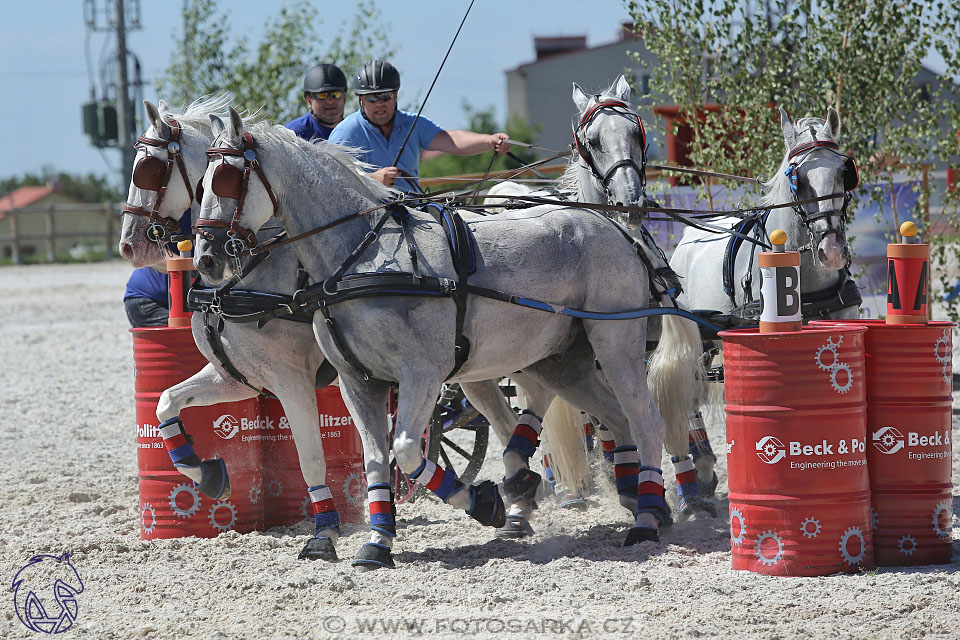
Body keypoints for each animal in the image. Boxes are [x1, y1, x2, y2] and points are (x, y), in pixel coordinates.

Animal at [195, 109, 688, 564]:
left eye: (226, 181)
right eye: (201, 185)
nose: (205, 258)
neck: (359, 255)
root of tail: (617, 228)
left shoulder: (421, 375)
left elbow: (407, 450)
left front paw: (483, 501)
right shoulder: (358, 383)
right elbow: (376, 460)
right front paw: (377, 543)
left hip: (615, 344)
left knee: (645, 419)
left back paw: (644, 518)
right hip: (561, 361)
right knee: (616, 420)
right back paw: (636, 500)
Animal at [668, 106, 864, 496]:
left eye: (843, 172)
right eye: (796, 178)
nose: (832, 251)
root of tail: (687, 236)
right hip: (695, 335)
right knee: (688, 390)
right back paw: (701, 469)